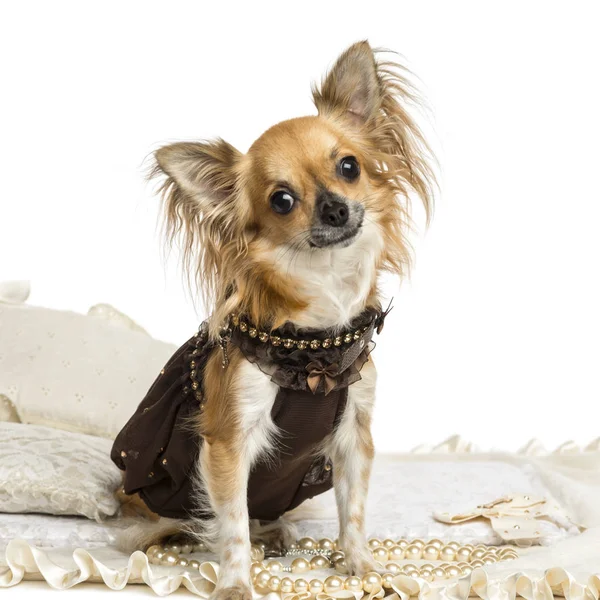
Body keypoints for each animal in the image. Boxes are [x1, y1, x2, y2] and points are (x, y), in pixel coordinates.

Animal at [112, 41, 434, 600]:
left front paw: (363, 567)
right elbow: (232, 524)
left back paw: (278, 533)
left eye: (349, 166)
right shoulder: (228, 441)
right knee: (180, 526)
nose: (334, 208)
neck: (314, 349)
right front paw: (235, 582)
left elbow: (353, 513)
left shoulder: (353, 437)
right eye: (282, 200)